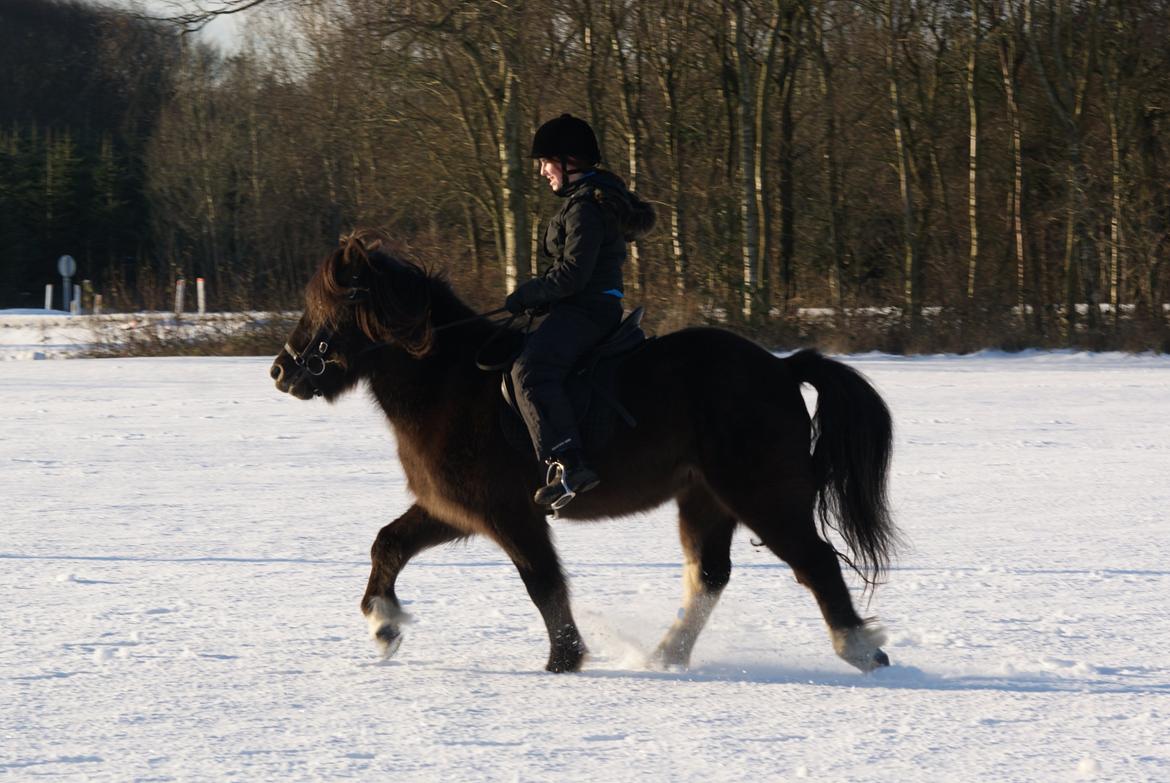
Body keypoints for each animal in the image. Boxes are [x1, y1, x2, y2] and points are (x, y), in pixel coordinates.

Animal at [269, 230, 898, 674]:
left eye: (331, 305)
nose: (281, 370)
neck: (448, 380)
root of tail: (782, 368)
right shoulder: (455, 510)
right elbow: (389, 543)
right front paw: (383, 627)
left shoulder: (509, 514)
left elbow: (543, 582)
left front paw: (564, 660)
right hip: (705, 499)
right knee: (709, 576)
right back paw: (666, 656)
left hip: (761, 494)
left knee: (814, 561)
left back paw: (860, 649)